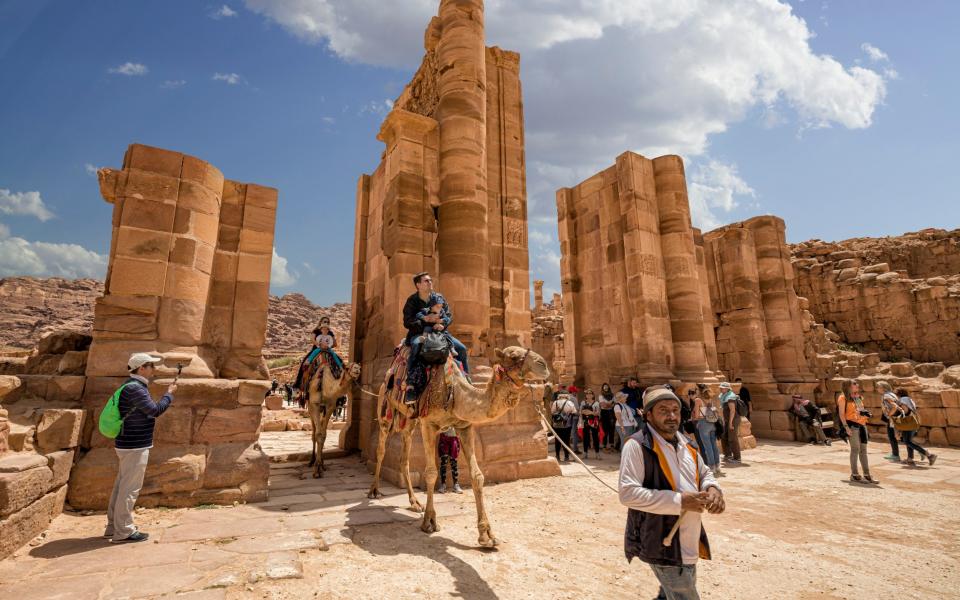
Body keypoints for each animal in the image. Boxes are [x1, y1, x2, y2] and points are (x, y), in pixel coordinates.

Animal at [366, 344, 548, 548]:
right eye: (513, 356)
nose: (543, 365)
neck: (456, 394)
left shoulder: (464, 426)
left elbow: (477, 476)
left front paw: (487, 535)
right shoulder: (428, 424)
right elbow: (431, 473)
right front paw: (429, 522)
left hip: (409, 421)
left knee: (404, 458)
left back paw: (414, 503)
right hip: (386, 409)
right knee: (381, 449)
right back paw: (374, 491)